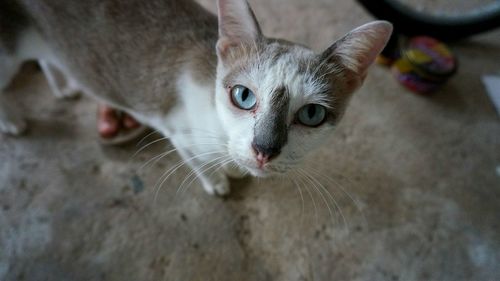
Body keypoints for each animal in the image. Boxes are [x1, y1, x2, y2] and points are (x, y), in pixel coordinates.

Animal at [0, 0, 390, 195]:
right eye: (243, 96)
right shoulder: (180, 133)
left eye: (311, 115)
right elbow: (200, 163)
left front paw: (233, 168)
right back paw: (13, 121)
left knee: (48, 56)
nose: (264, 150)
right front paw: (218, 181)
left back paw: (63, 86)